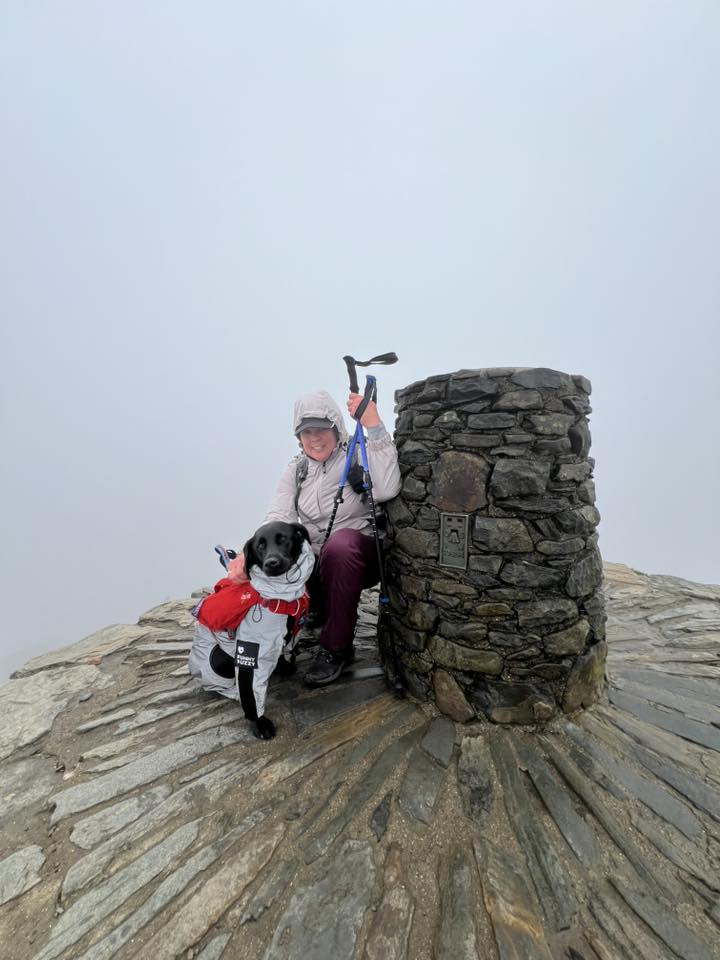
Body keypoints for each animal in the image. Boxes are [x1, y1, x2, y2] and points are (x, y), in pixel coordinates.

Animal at [189, 521, 314, 740]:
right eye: (260, 546)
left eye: (283, 538)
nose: (271, 563)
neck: (281, 597)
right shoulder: (252, 648)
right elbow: (250, 683)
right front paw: (259, 723)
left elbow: (279, 654)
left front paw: (283, 666)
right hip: (217, 662)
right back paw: (232, 692)